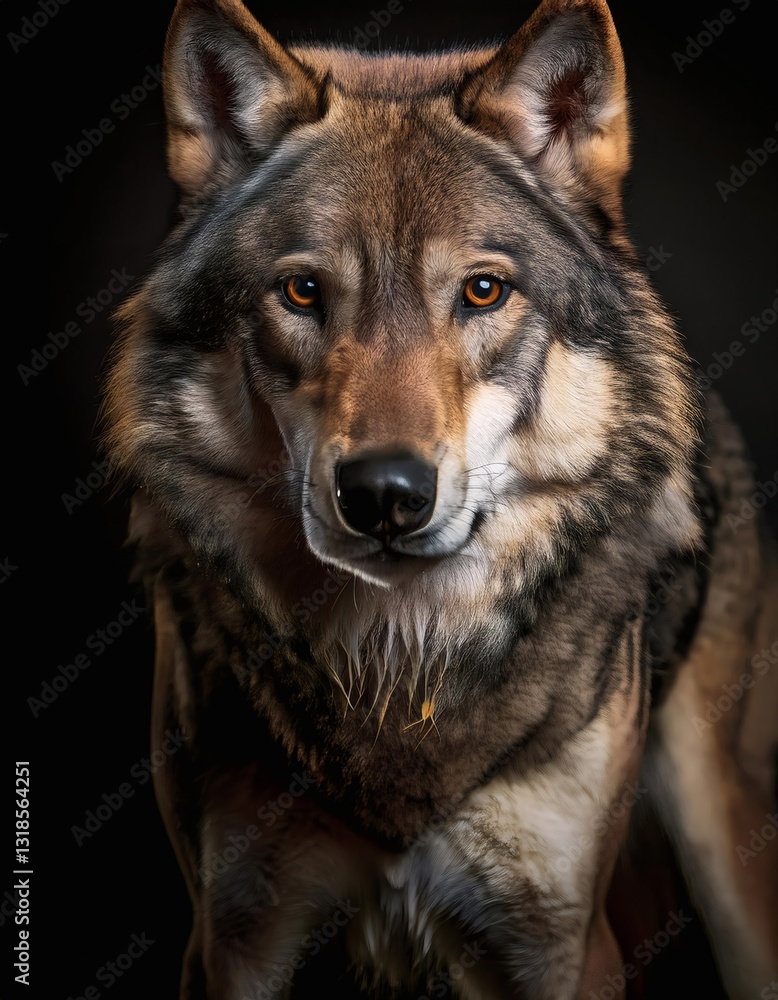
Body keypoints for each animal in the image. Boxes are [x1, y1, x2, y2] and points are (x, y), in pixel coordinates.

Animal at [102, 0, 778, 996]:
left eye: (483, 290)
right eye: (303, 292)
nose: (384, 494)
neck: (399, 664)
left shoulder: (559, 946)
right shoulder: (233, 939)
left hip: (723, 852)